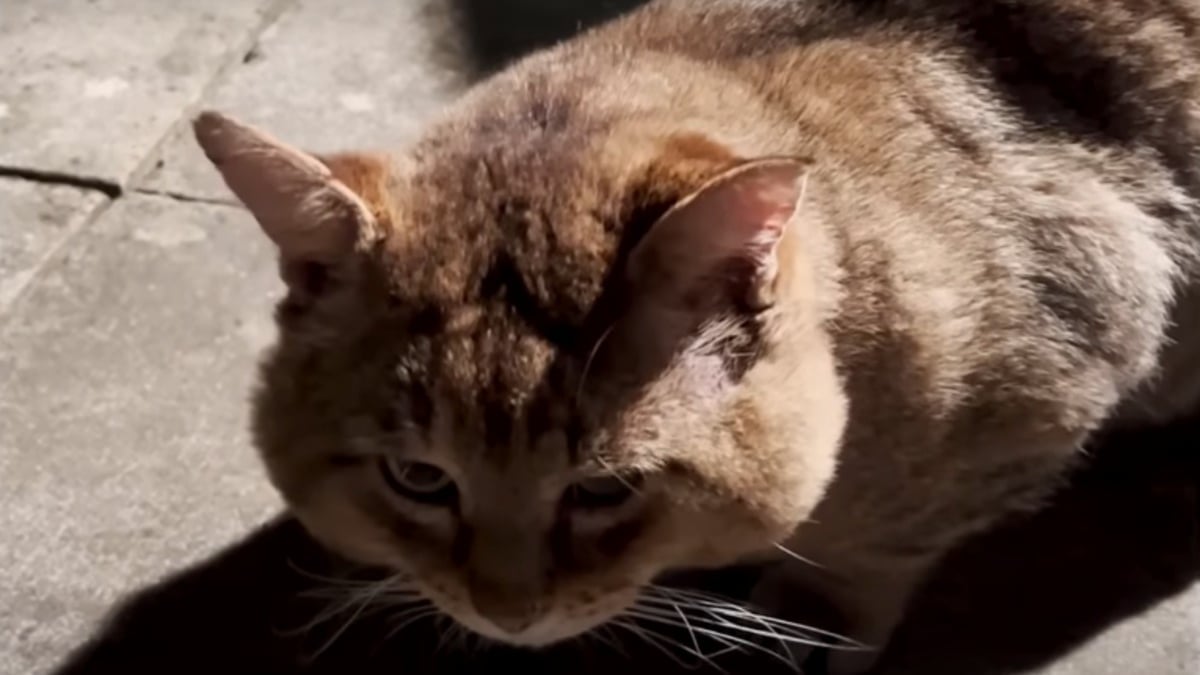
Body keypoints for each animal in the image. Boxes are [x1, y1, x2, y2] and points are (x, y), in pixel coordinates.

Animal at [189, 1, 1200, 667]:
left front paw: (819, 614)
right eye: (418, 478)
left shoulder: (1068, 352)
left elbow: (882, 543)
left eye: (605, 488)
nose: (509, 613)